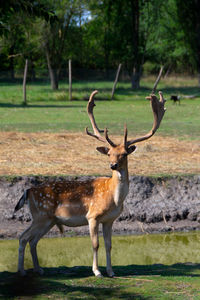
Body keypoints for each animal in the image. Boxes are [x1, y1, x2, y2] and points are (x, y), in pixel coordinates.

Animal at [13, 90, 166, 278]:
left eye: (124, 154)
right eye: (109, 153)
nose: (113, 165)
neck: (114, 198)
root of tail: (28, 190)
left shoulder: (109, 220)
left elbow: (109, 245)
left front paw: (111, 271)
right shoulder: (92, 216)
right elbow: (95, 244)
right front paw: (97, 271)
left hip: (48, 220)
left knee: (33, 240)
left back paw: (38, 269)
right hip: (40, 215)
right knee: (23, 237)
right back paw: (22, 271)